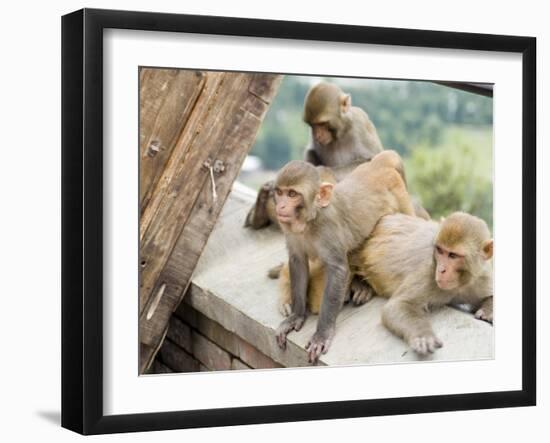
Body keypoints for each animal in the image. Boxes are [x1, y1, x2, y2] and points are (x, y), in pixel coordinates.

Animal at [246, 81, 384, 231]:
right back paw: (259, 212)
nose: (317, 135)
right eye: (313, 125)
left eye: (322, 124)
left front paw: (321, 171)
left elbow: (371, 161)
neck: (340, 133)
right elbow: (311, 152)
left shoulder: (360, 124)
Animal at [274, 151, 416, 362]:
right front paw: (296, 316)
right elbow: (298, 261)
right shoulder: (292, 232)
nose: (281, 206)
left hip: (401, 197)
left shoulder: (328, 228)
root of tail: (378, 164)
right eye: (280, 192)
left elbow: (337, 270)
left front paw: (322, 334)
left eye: (292, 194)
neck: (311, 221)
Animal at [280, 212, 496, 358]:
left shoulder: (481, 276)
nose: (441, 270)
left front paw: (487, 311)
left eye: (453, 255)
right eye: (440, 251)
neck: (460, 283)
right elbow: (397, 306)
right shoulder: (428, 274)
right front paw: (423, 336)